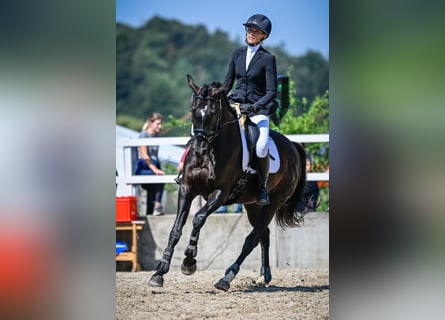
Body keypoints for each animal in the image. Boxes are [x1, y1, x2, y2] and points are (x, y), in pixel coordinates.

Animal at [147, 74, 306, 290]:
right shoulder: (187, 190)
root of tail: (292, 145)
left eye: (213, 114)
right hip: (253, 205)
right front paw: (159, 273)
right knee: (263, 235)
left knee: (252, 239)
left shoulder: (220, 194)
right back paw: (264, 275)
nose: (198, 151)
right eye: (193, 111)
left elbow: (198, 218)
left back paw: (227, 277)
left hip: (274, 202)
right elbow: (175, 229)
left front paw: (189, 261)